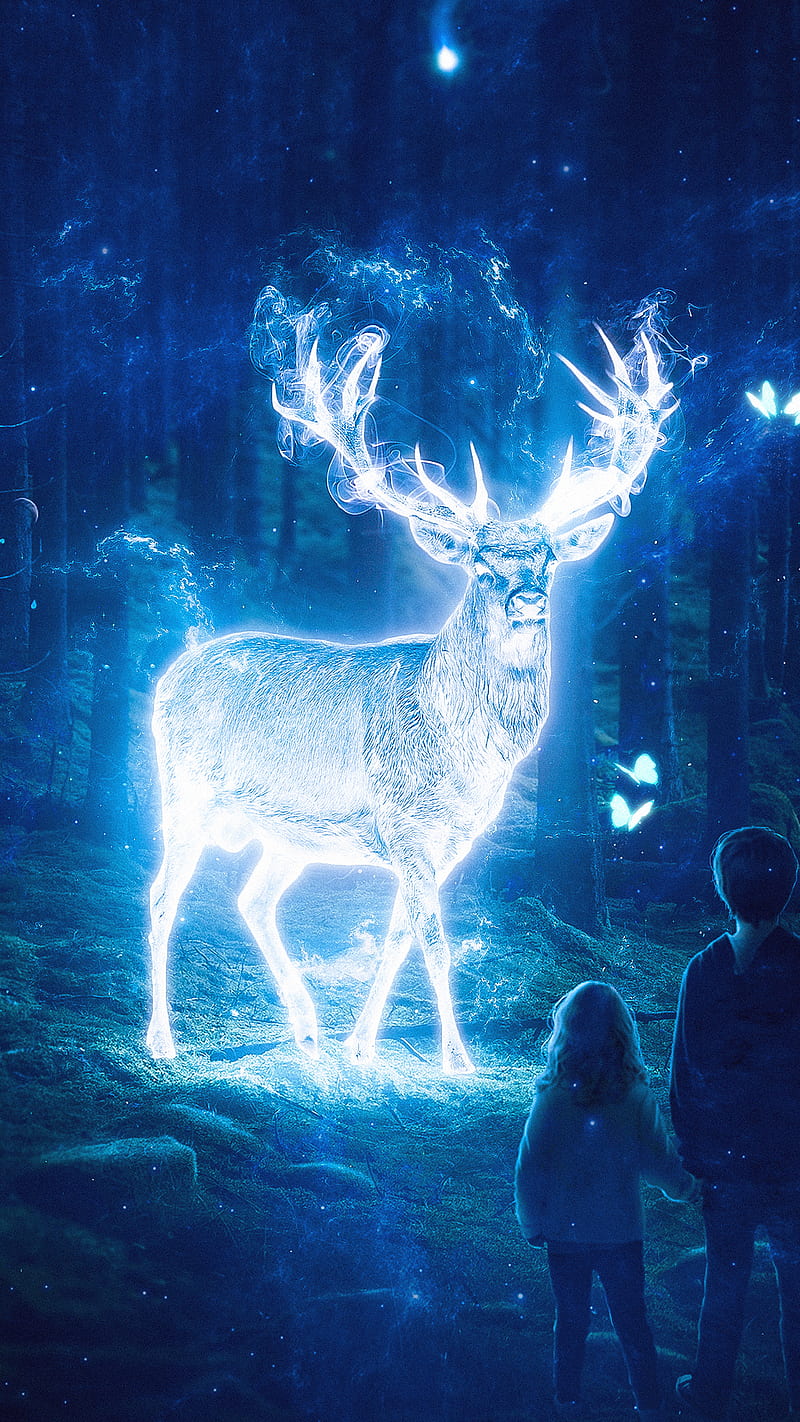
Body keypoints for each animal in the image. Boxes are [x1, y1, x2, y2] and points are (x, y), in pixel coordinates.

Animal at [146, 293, 675, 1075]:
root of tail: (167, 678)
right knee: (161, 895)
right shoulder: (402, 819)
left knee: (252, 900)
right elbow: (434, 938)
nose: (526, 597)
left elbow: (401, 933)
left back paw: (308, 1028)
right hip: (185, 790)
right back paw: (161, 1039)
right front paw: (457, 1057)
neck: (466, 751)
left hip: (284, 832)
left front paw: (363, 1045)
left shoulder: (450, 837)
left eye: (547, 558)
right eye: (481, 563)